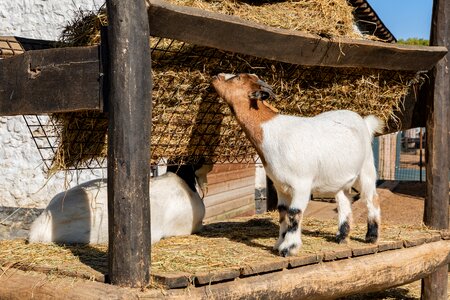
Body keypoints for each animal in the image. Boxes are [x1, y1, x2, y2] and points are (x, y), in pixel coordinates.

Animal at [211, 74, 384, 256]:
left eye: (237, 78)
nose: (215, 77)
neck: (272, 132)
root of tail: (364, 122)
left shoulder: (302, 184)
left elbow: (294, 213)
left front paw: (289, 248)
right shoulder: (280, 185)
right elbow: (282, 212)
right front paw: (278, 244)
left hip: (366, 168)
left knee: (372, 198)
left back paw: (371, 236)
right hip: (340, 178)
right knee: (344, 202)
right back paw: (342, 237)